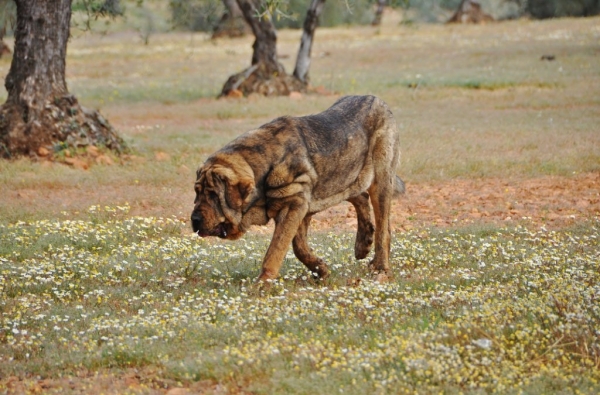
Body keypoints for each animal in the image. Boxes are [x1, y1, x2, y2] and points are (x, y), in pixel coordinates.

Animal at [192, 95, 406, 282]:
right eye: (197, 192)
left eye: (213, 195)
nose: (194, 220)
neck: (262, 166)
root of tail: (378, 100)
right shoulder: (301, 208)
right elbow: (299, 247)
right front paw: (321, 270)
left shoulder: (294, 205)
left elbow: (275, 250)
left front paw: (262, 284)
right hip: (345, 177)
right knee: (360, 197)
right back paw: (363, 244)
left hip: (381, 180)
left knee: (383, 230)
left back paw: (380, 268)